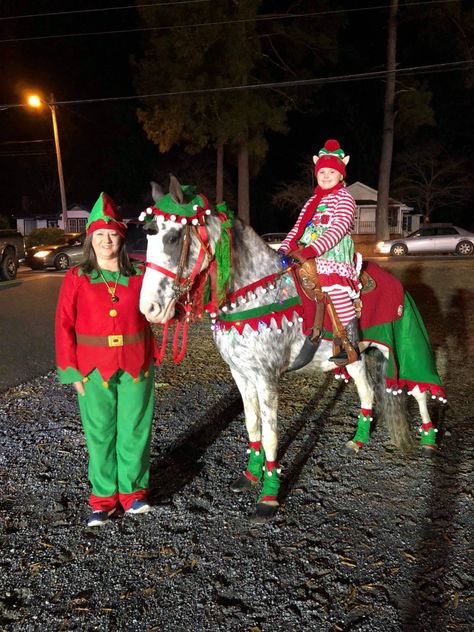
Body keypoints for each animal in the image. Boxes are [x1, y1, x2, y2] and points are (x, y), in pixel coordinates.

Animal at [139, 175, 446, 520]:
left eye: (173, 237)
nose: (149, 309)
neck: (255, 293)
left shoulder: (267, 378)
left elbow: (271, 434)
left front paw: (268, 497)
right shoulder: (241, 375)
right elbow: (252, 426)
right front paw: (249, 476)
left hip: (400, 351)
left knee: (418, 390)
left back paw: (429, 440)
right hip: (355, 356)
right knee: (368, 392)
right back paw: (358, 441)